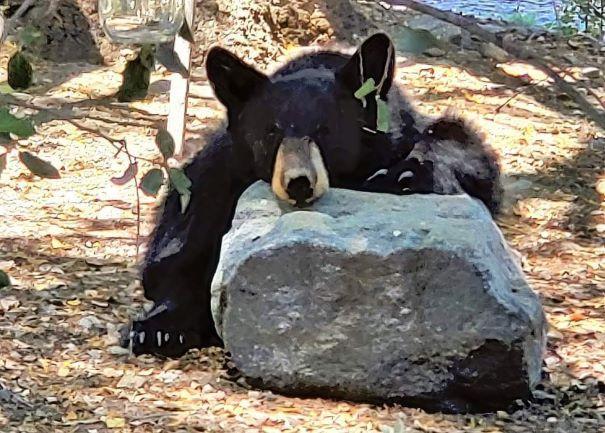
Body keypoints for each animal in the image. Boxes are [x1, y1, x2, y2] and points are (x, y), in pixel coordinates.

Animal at [122, 33, 500, 358]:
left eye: (325, 130)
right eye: (271, 131)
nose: (299, 183)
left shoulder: (402, 133)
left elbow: (465, 148)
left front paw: (407, 173)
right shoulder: (219, 176)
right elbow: (177, 246)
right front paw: (158, 327)